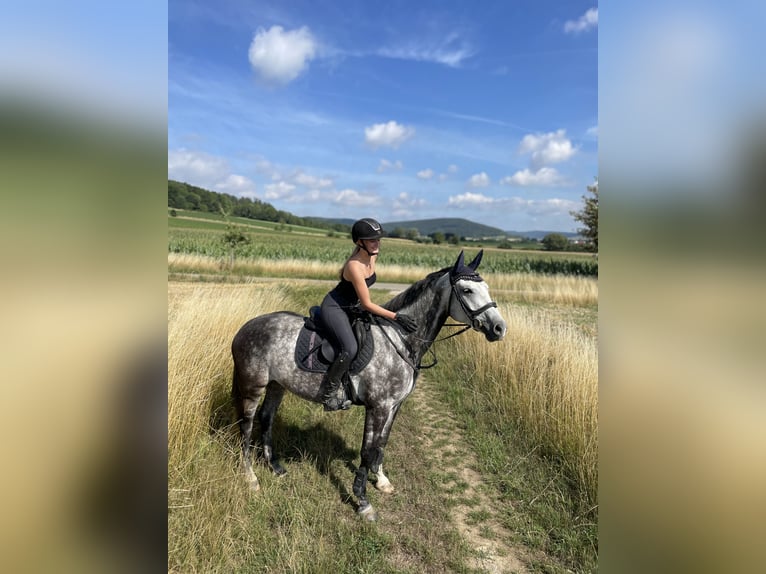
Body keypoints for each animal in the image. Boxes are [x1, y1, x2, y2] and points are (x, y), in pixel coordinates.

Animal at [231, 251, 508, 520]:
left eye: (486, 287)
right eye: (467, 290)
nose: (499, 328)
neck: (401, 339)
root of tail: (245, 327)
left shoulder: (394, 406)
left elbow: (381, 443)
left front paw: (382, 480)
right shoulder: (378, 406)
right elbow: (367, 449)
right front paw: (363, 501)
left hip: (277, 385)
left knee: (266, 418)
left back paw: (275, 467)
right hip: (253, 385)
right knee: (246, 426)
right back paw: (250, 478)